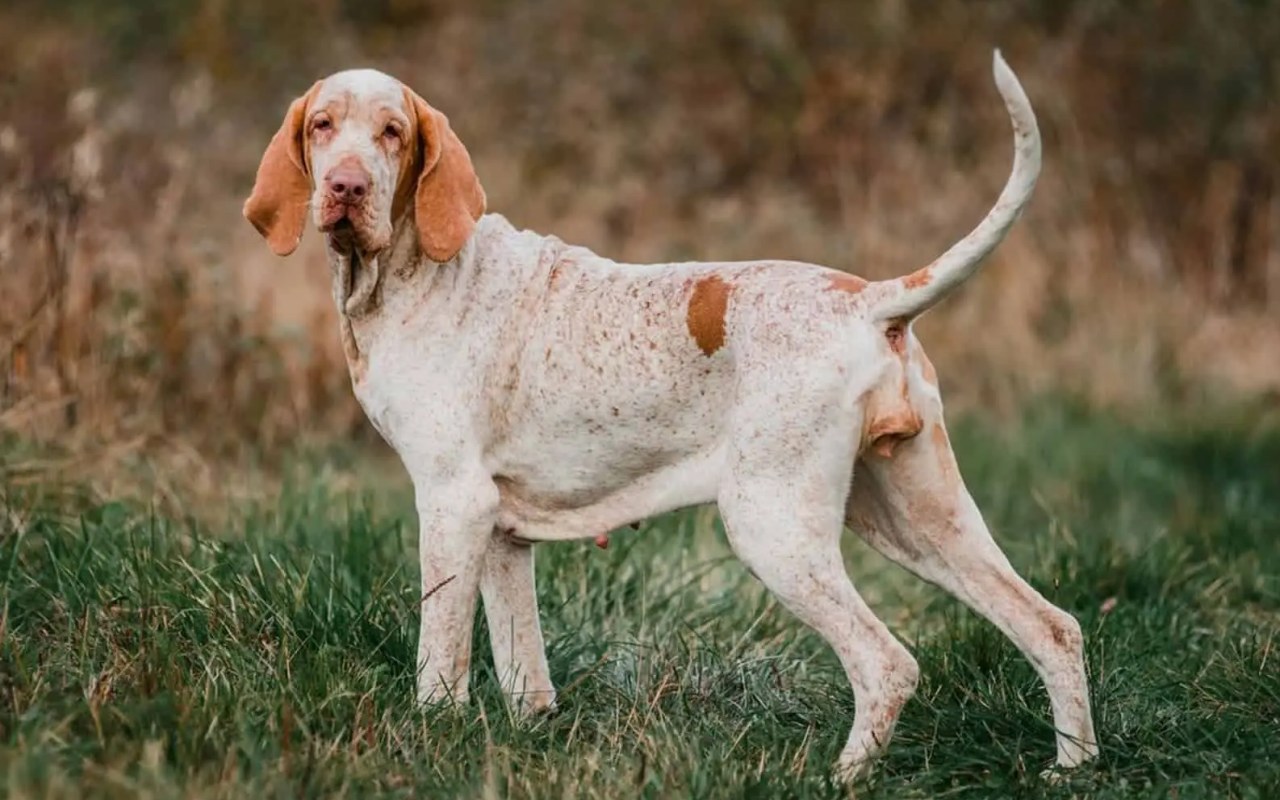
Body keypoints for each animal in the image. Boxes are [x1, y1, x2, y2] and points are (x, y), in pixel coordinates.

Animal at [241, 51, 1100, 778]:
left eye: (392, 131)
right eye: (323, 126)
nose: (346, 187)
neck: (407, 273)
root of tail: (871, 301)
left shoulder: (452, 505)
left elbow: (439, 658)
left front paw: (431, 739)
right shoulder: (501, 532)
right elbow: (524, 673)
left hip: (772, 523)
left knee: (887, 662)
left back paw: (841, 778)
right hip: (919, 521)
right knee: (1052, 627)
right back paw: (1073, 768)